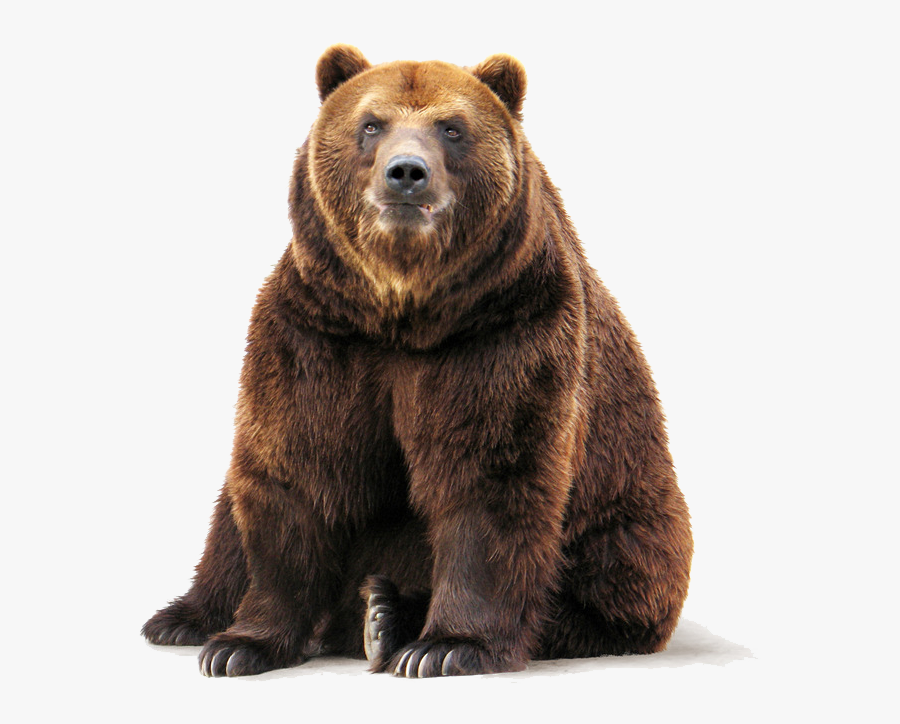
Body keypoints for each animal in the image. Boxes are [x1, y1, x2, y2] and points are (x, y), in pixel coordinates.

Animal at [142, 45, 693, 679]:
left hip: (630, 517)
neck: (403, 311)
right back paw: (185, 618)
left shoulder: (503, 331)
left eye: (452, 128)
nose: (406, 172)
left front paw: (447, 645)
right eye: (370, 124)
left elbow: (489, 477)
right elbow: (296, 468)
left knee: (605, 580)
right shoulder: (318, 333)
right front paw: (240, 644)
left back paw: (386, 615)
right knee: (228, 516)